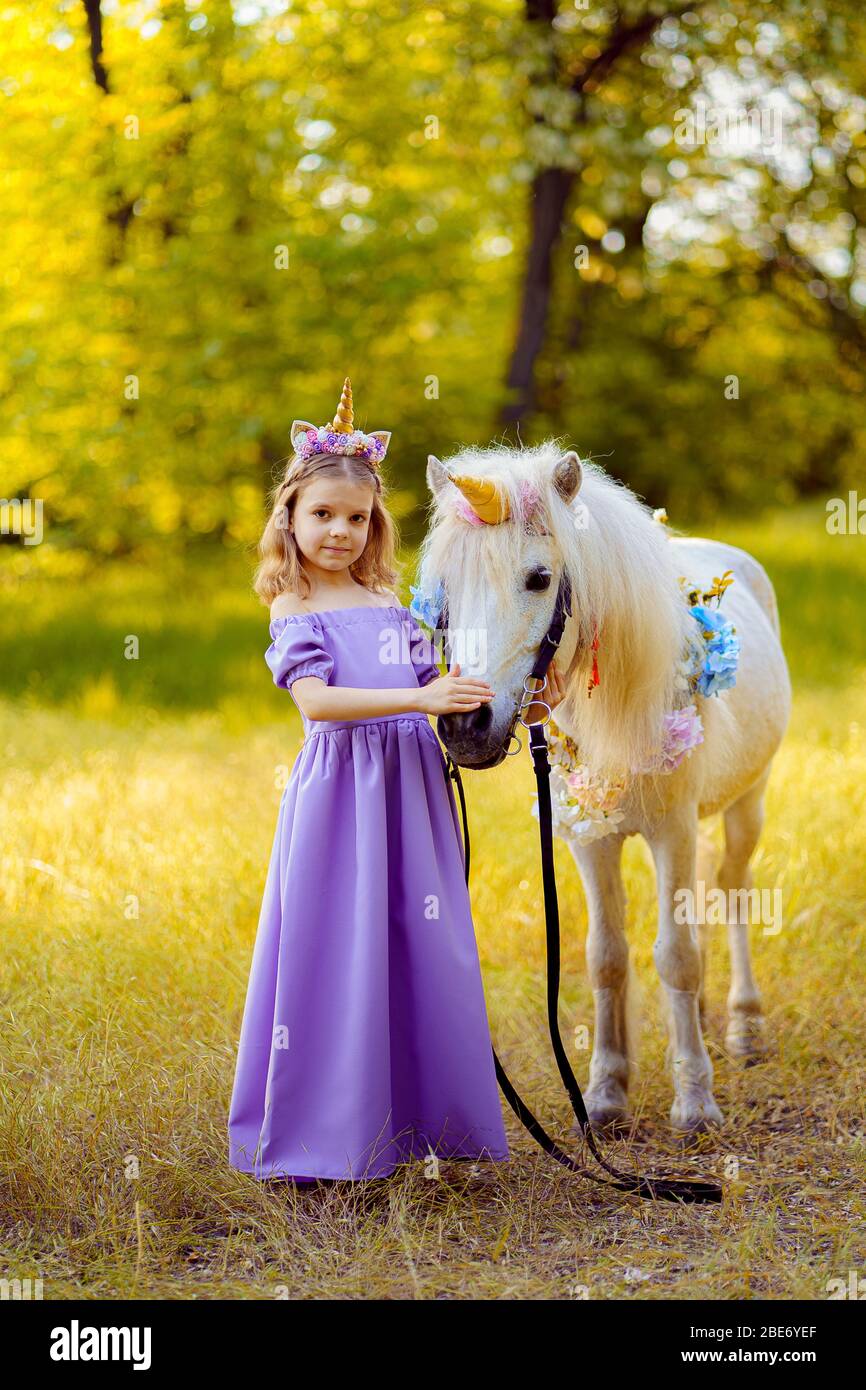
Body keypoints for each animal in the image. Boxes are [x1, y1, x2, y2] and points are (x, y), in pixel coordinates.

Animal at [419, 439, 795, 1134]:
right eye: (444, 589)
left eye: (539, 578)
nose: (465, 727)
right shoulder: (589, 841)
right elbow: (607, 956)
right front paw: (605, 1092)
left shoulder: (672, 832)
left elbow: (676, 956)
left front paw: (695, 1102)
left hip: (746, 805)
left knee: (731, 890)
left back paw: (744, 1026)